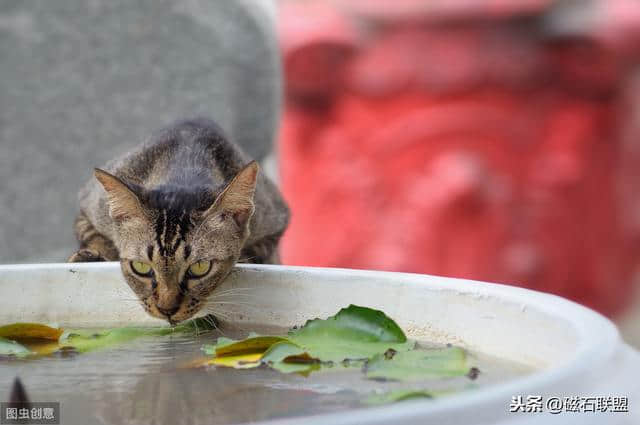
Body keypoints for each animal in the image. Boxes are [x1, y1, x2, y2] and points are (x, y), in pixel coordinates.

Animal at [69, 117, 288, 322]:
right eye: (140, 267)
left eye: (200, 268)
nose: (167, 310)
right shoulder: (88, 206)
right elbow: (94, 235)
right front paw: (90, 256)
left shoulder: (276, 221)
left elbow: (256, 250)